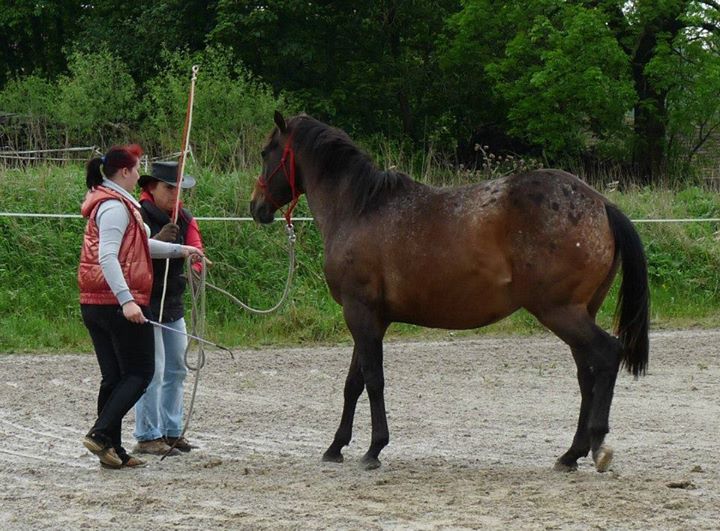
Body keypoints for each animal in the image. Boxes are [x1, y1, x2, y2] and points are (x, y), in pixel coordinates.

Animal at [250, 111, 648, 474]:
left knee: (607, 354)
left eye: (267, 151)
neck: (360, 209)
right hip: (577, 312)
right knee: (586, 375)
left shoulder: (359, 311)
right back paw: (571, 454)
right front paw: (336, 447)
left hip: (560, 311)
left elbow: (373, 380)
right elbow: (354, 382)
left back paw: (597, 446)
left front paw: (374, 448)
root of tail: (602, 205)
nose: (256, 207)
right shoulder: (371, 318)